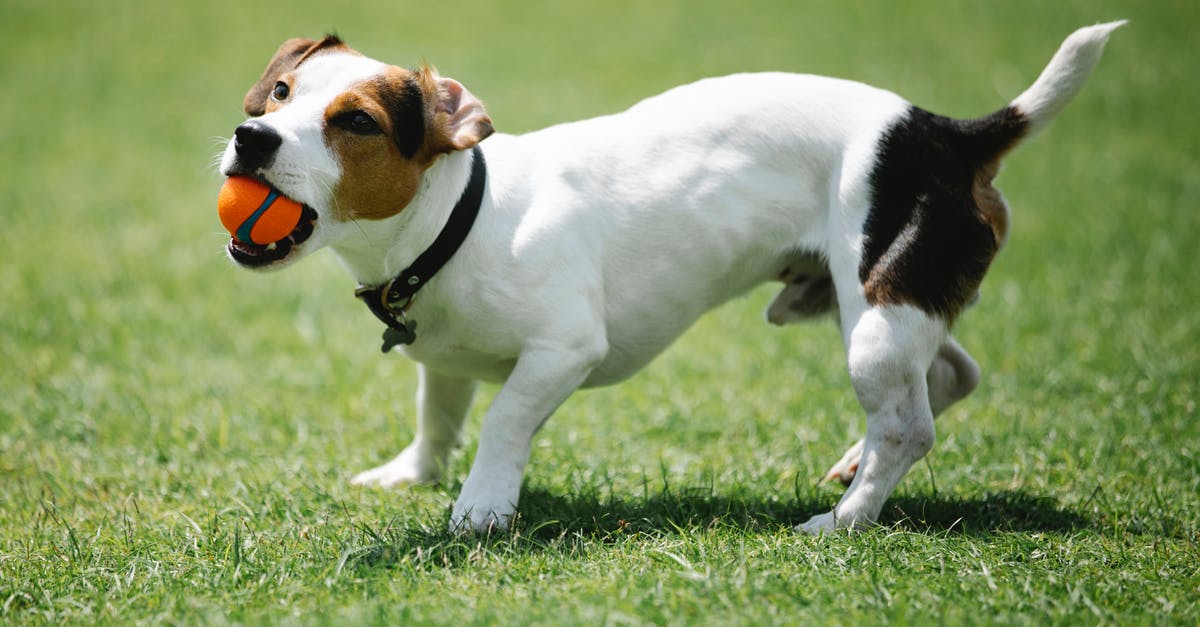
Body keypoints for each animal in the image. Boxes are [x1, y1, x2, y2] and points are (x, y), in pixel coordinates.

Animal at [218, 24, 1123, 530]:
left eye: (357, 122)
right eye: (280, 92)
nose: (249, 136)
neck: (458, 217)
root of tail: (949, 134)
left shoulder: (563, 351)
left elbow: (504, 422)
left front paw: (481, 506)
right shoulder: (443, 360)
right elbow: (437, 418)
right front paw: (412, 475)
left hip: (875, 321)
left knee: (909, 426)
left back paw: (843, 518)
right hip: (867, 300)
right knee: (950, 374)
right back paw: (850, 464)